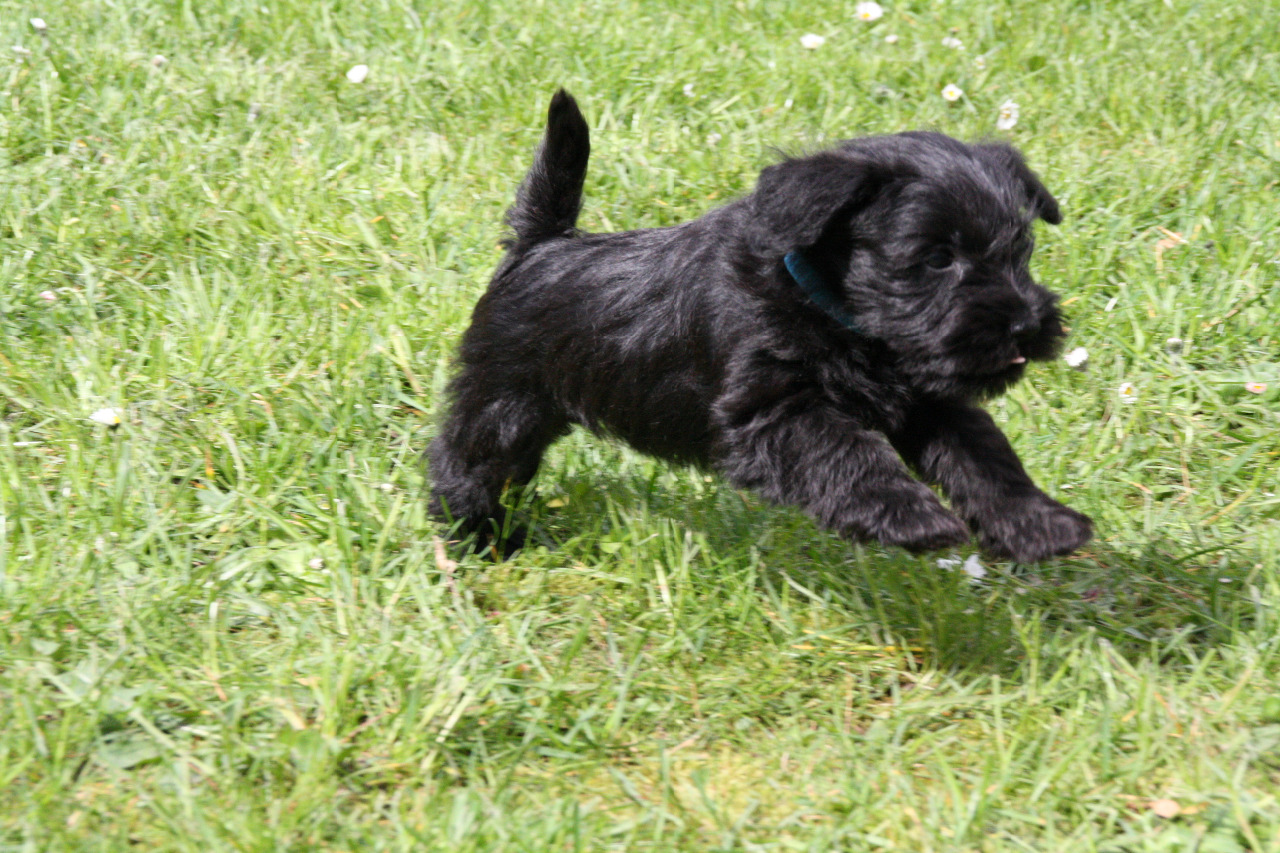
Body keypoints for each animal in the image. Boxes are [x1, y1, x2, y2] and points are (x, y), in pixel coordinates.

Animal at [428, 90, 1092, 563]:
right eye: (936, 258)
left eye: (1021, 251)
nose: (1027, 324)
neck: (833, 313)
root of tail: (542, 242)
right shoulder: (774, 411)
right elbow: (849, 453)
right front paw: (911, 518)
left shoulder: (930, 399)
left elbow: (986, 457)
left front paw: (1041, 524)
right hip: (504, 402)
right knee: (466, 460)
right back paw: (477, 539)